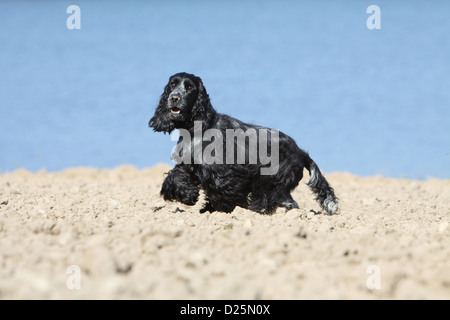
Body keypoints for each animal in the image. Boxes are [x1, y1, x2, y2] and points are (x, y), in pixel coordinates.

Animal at [149, 72, 340, 215]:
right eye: (172, 85)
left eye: (189, 87)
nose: (174, 98)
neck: (197, 128)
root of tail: (301, 152)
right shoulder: (190, 165)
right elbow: (174, 177)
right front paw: (189, 196)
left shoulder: (225, 175)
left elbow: (224, 193)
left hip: (272, 182)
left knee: (282, 202)